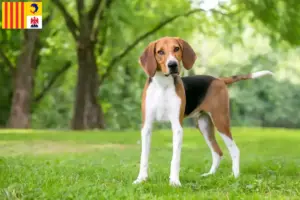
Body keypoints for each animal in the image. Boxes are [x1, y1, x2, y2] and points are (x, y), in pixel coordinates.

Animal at [133, 36, 272, 186]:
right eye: (160, 52)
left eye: (176, 48)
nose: (173, 65)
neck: (162, 86)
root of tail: (218, 79)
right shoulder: (146, 127)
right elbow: (144, 157)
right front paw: (141, 179)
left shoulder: (177, 127)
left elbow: (175, 159)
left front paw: (174, 182)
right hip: (204, 125)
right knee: (218, 152)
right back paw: (210, 175)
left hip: (220, 120)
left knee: (234, 150)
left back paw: (234, 177)